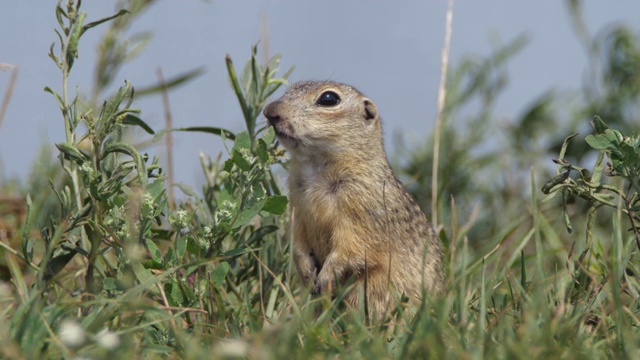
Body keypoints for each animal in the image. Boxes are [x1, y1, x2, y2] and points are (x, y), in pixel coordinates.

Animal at [262, 81, 442, 318]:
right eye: (289, 89)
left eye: (329, 99)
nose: (269, 111)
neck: (315, 167)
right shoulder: (297, 209)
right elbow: (298, 240)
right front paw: (307, 273)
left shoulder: (361, 211)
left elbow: (351, 248)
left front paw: (324, 278)